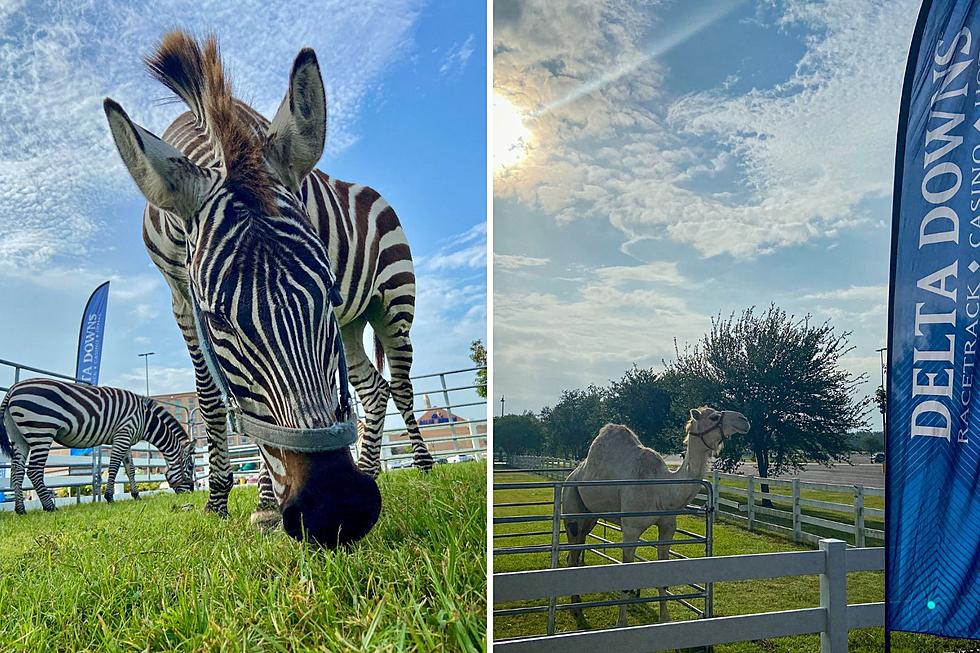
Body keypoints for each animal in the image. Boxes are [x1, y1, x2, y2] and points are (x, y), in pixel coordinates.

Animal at [0, 380, 193, 512]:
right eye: (190, 468)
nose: (191, 492)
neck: (145, 419)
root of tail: (12, 390)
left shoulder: (127, 439)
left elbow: (130, 469)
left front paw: (136, 495)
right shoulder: (123, 434)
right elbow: (114, 466)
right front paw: (109, 497)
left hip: (20, 438)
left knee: (17, 469)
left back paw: (20, 509)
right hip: (42, 430)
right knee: (34, 470)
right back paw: (49, 507)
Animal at [102, 33, 406, 548]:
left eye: (329, 291)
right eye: (217, 318)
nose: (338, 507)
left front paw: (263, 505)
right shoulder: (180, 300)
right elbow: (212, 399)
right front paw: (217, 501)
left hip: (394, 303)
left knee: (400, 384)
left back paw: (419, 467)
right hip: (352, 327)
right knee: (375, 388)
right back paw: (371, 468)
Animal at [560, 408, 752, 628]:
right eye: (713, 417)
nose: (744, 420)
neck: (662, 489)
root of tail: (572, 474)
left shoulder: (667, 527)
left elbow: (663, 575)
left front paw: (665, 619)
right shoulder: (631, 529)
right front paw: (621, 623)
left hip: (590, 517)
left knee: (577, 548)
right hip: (571, 507)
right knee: (572, 550)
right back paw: (576, 607)